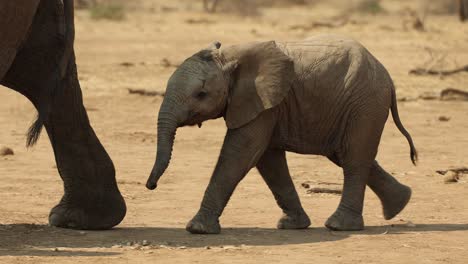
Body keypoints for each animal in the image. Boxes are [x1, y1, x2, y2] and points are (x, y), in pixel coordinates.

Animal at [146, 34, 416, 233]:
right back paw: (400, 204)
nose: (151, 186)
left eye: (201, 94)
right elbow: (268, 160)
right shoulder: (266, 104)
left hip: (365, 104)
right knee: (346, 154)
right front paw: (293, 225)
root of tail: (387, 77)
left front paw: (197, 228)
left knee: (353, 158)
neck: (229, 57)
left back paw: (339, 226)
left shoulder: (263, 101)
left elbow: (241, 153)